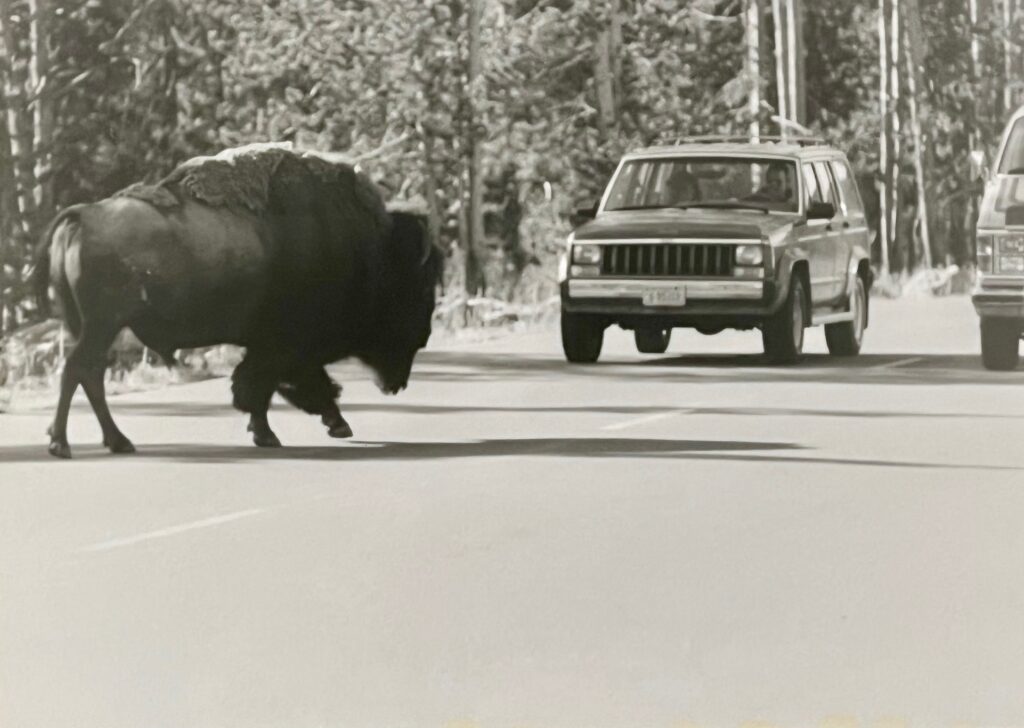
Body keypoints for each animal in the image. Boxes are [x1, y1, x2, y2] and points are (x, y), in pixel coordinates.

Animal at [33, 144, 443, 458]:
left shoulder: (272, 346)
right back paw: (66, 444)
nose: (423, 337)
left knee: (88, 374)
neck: (367, 249)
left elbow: (262, 385)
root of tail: (84, 215)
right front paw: (299, 430)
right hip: (103, 326)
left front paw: (288, 429)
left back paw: (111, 442)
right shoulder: (285, 346)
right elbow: (271, 384)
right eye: (420, 290)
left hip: (98, 328)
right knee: (79, 370)